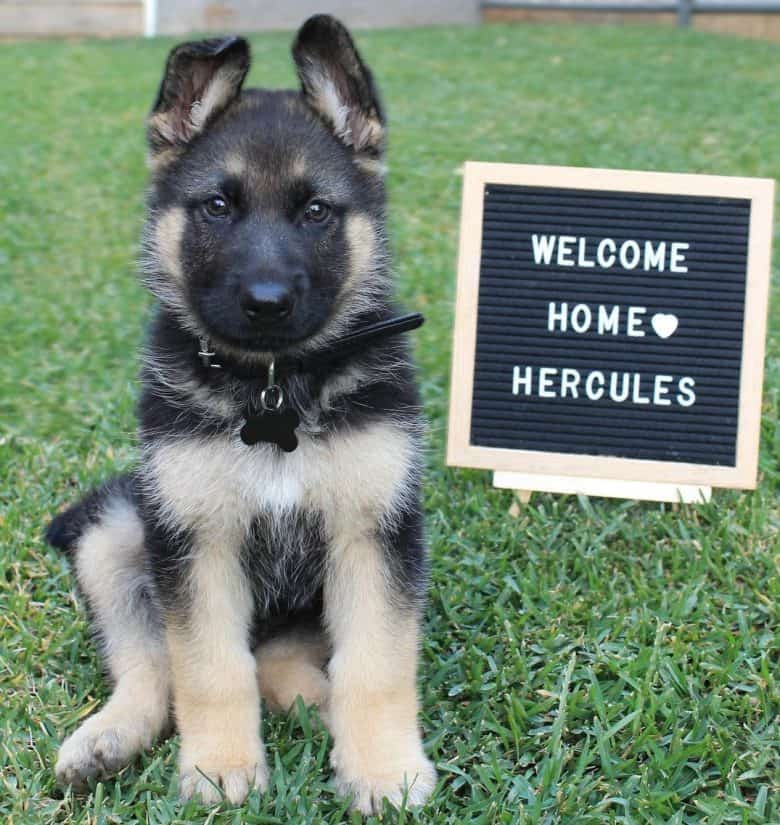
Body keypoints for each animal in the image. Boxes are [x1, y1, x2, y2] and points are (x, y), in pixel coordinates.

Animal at [46, 12, 436, 812]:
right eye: (217, 207)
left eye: (316, 211)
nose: (266, 303)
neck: (274, 385)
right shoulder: (195, 541)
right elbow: (206, 667)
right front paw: (219, 766)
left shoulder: (374, 536)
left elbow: (377, 665)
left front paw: (383, 770)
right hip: (116, 531)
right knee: (153, 665)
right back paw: (107, 738)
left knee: (283, 661)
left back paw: (319, 705)